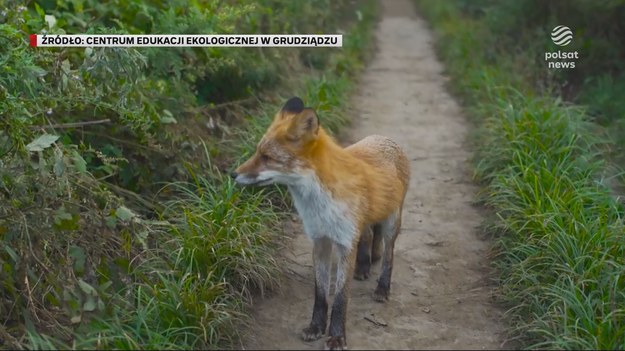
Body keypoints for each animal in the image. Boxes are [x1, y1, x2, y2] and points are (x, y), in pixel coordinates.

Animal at [230, 97, 410, 351]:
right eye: (257, 152)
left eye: (267, 157)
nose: (232, 174)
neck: (318, 203)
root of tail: (382, 137)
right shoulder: (320, 241)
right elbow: (321, 294)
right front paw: (316, 327)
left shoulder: (345, 243)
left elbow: (340, 299)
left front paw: (336, 337)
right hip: (363, 224)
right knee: (367, 238)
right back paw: (363, 267)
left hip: (391, 225)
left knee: (388, 256)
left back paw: (382, 288)